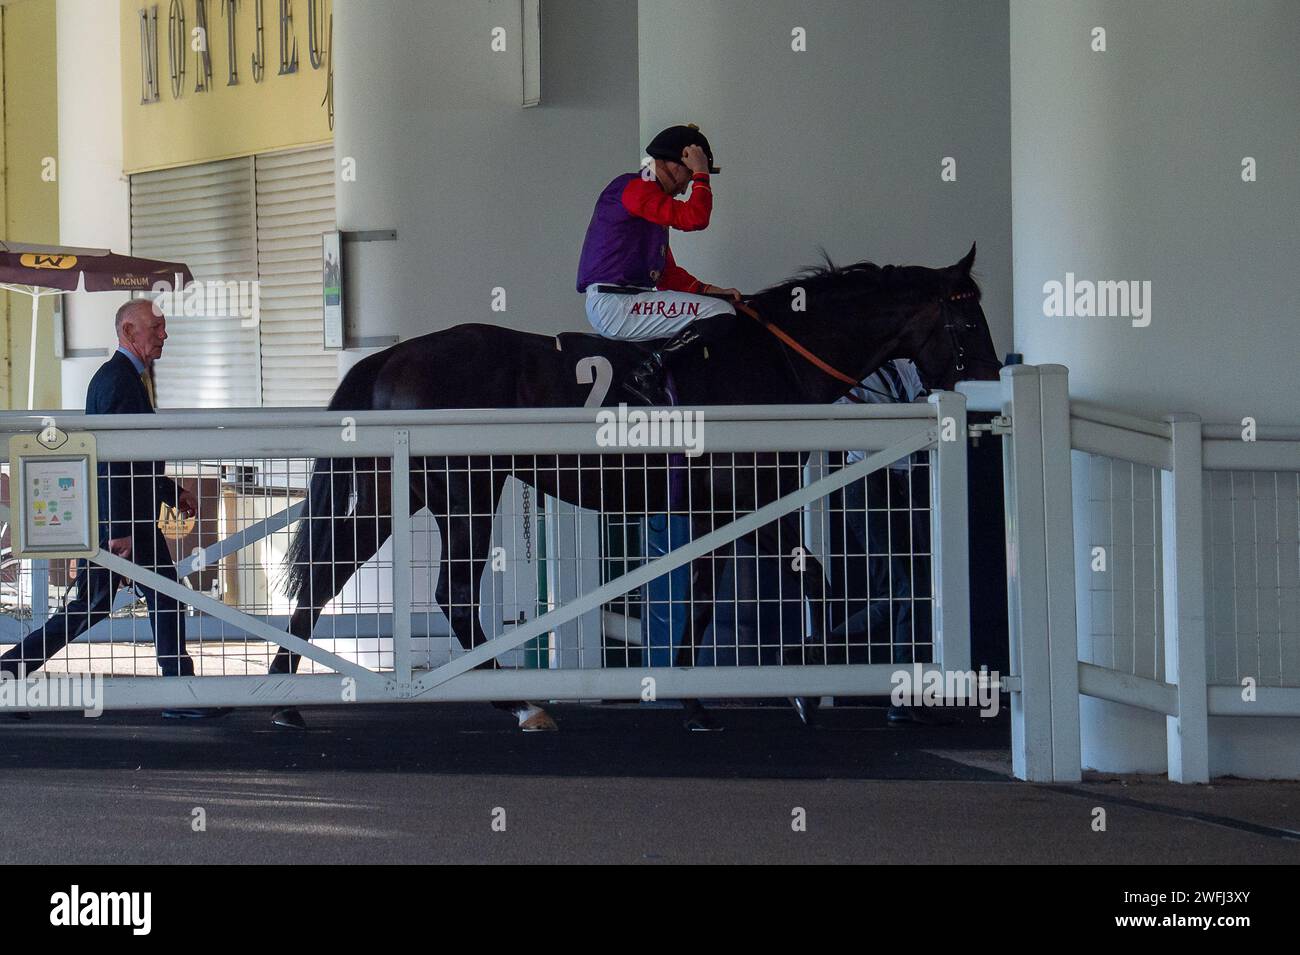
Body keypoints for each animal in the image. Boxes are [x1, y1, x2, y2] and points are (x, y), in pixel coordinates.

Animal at [274, 242, 998, 727]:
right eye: (969, 322)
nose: (990, 377)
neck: (774, 361)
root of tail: (394, 354)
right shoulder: (752, 495)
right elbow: (802, 575)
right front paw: (802, 683)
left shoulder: (723, 507)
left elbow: (714, 596)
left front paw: (700, 695)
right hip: (465, 489)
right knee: (448, 591)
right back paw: (517, 701)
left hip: (393, 489)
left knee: (329, 574)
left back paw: (285, 695)